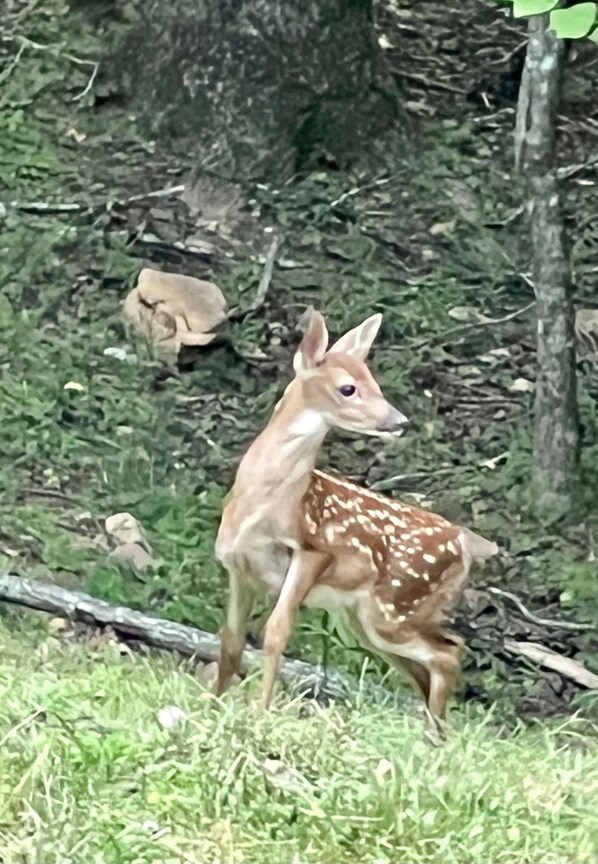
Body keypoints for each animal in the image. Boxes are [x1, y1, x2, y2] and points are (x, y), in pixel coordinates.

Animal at [215, 310, 498, 736]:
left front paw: (261, 712)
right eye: (348, 388)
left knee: (448, 652)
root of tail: (466, 541)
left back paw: (434, 736)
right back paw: (434, 737)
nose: (399, 420)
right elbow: (231, 642)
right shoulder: (237, 567)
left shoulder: (313, 550)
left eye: (374, 382)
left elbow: (276, 632)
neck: (263, 510)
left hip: (391, 608)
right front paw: (211, 702)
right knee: (431, 663)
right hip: (369, 619)